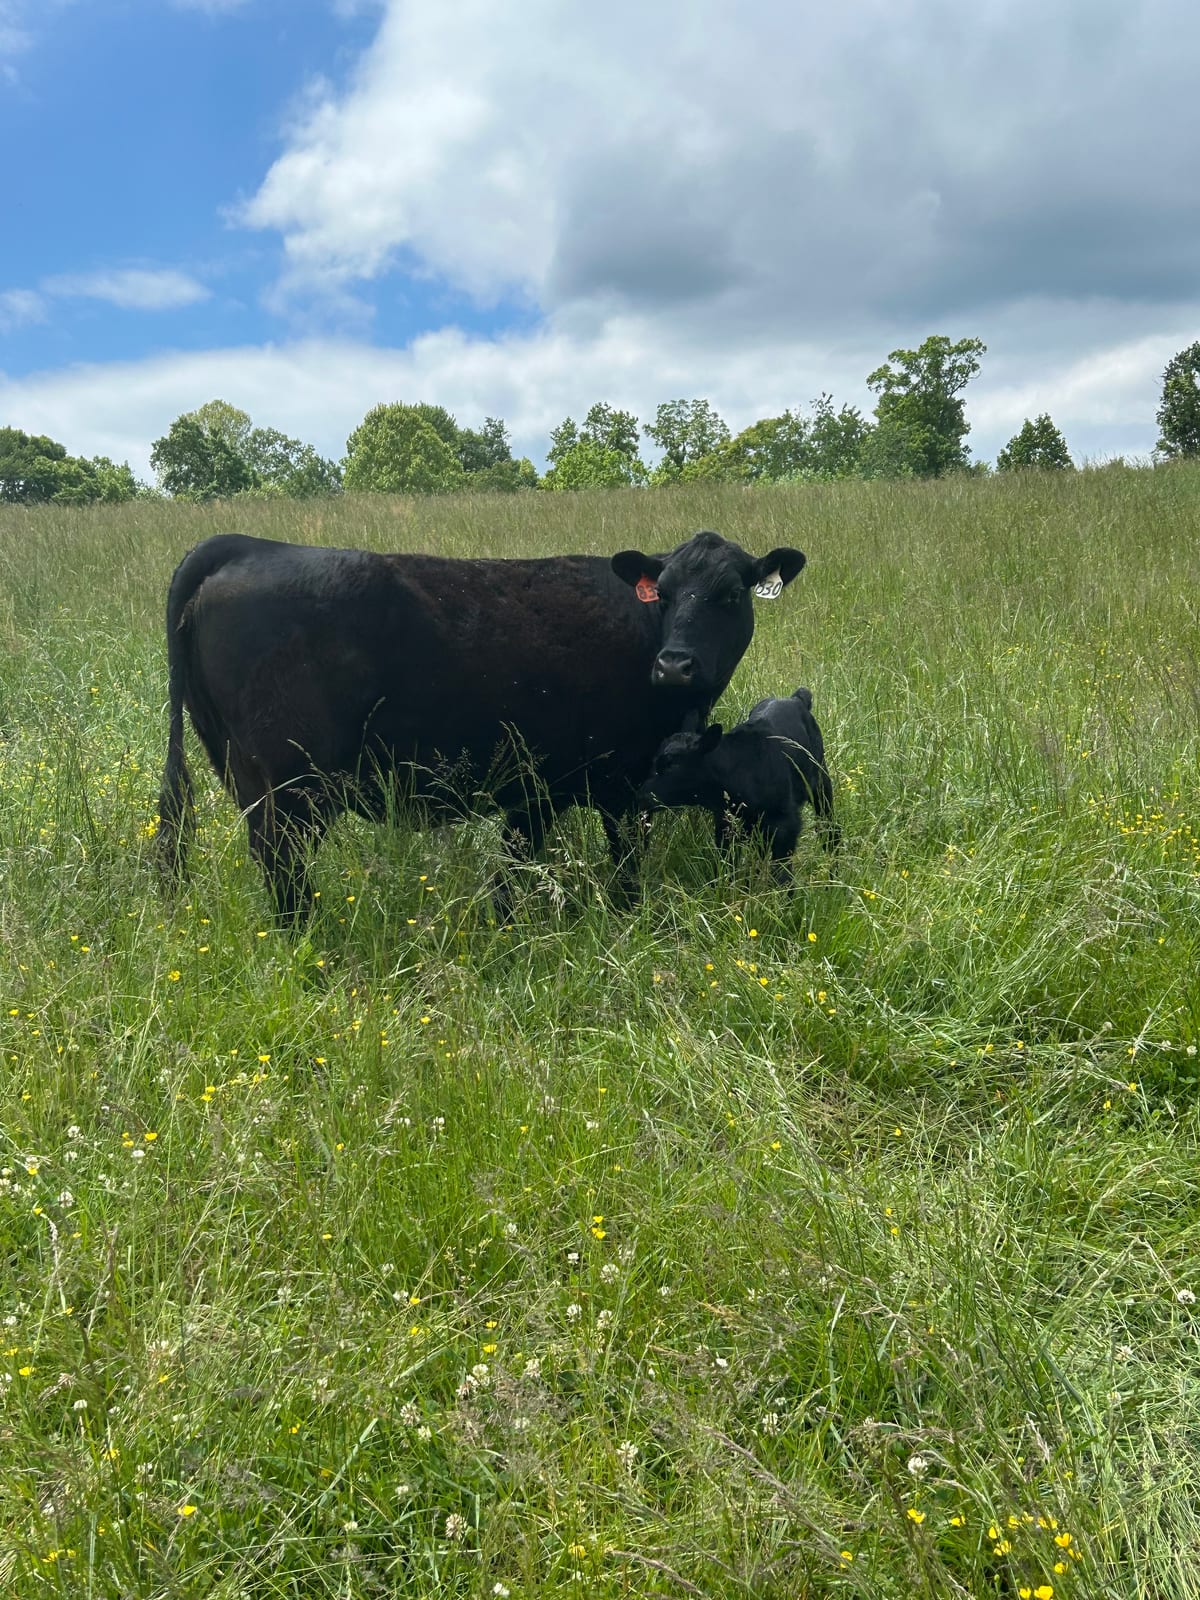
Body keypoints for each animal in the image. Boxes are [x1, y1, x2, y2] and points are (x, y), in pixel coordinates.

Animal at [156, 529, 806, 920]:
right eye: (663, 594)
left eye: (731, 595)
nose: (674, 664)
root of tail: (247, 544)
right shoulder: (620, 783)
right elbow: (622, 864)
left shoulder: (542, 786)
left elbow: (515, 861)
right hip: (292, 783)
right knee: (281, 860)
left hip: (247, 773)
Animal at [637, 686, 838, 873]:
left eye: (672, 765)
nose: (641, 796)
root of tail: (796, 698)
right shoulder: (725, 821)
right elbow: (727, 862)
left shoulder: (786, 823)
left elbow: (782, 872)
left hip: (821, 783)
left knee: (830, 830)